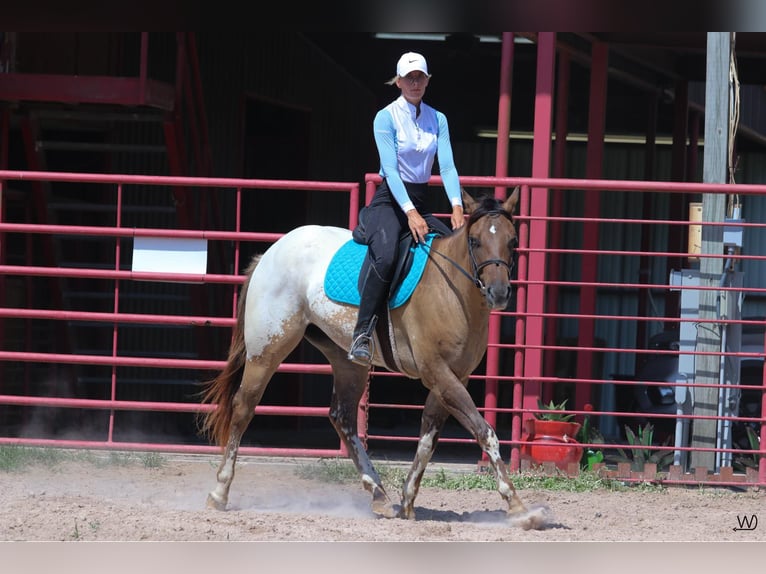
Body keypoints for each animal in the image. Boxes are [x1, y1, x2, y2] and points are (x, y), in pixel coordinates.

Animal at [198, 188, 544, 532]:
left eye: (513, 240)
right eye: (475, 241)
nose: (499, 293)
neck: (451, 291)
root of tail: (271, 252)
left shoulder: (453, 378)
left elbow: (428, 438)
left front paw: (407, 501)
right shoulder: (437, 373)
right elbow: (484, 432)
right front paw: (519, 507)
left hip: (347, 360)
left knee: (343, 417)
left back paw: (379, 494)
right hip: (267, 349)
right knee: (243, 407)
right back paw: (219, 492)